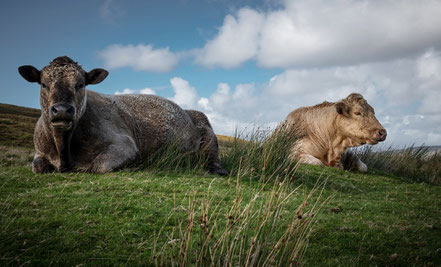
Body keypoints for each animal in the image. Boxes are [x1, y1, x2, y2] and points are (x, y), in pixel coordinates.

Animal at [18, 55, 227, 175]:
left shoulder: (125, 145)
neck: (63, 148)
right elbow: (37, 167)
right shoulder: (40, 152)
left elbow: (98, 166)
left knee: (212, 159)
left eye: (81, 84)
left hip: (207, 130)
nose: (62, 109)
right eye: (43, 84)